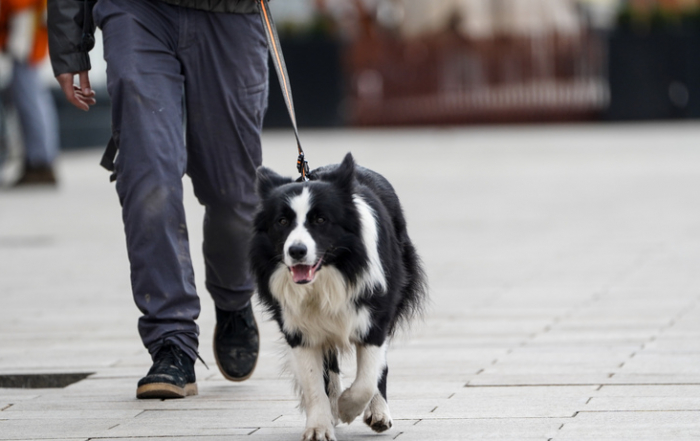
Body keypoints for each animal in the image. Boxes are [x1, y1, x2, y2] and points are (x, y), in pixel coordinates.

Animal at [252, 154, 426, 440]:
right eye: (282, 222)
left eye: (321, 220)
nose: (296, 251)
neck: (328, 274)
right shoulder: (296, 324)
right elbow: (313, 379)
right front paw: (319, 426)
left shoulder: (375, 310)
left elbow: (367, 376)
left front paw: (348, 407)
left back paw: (376, 412)